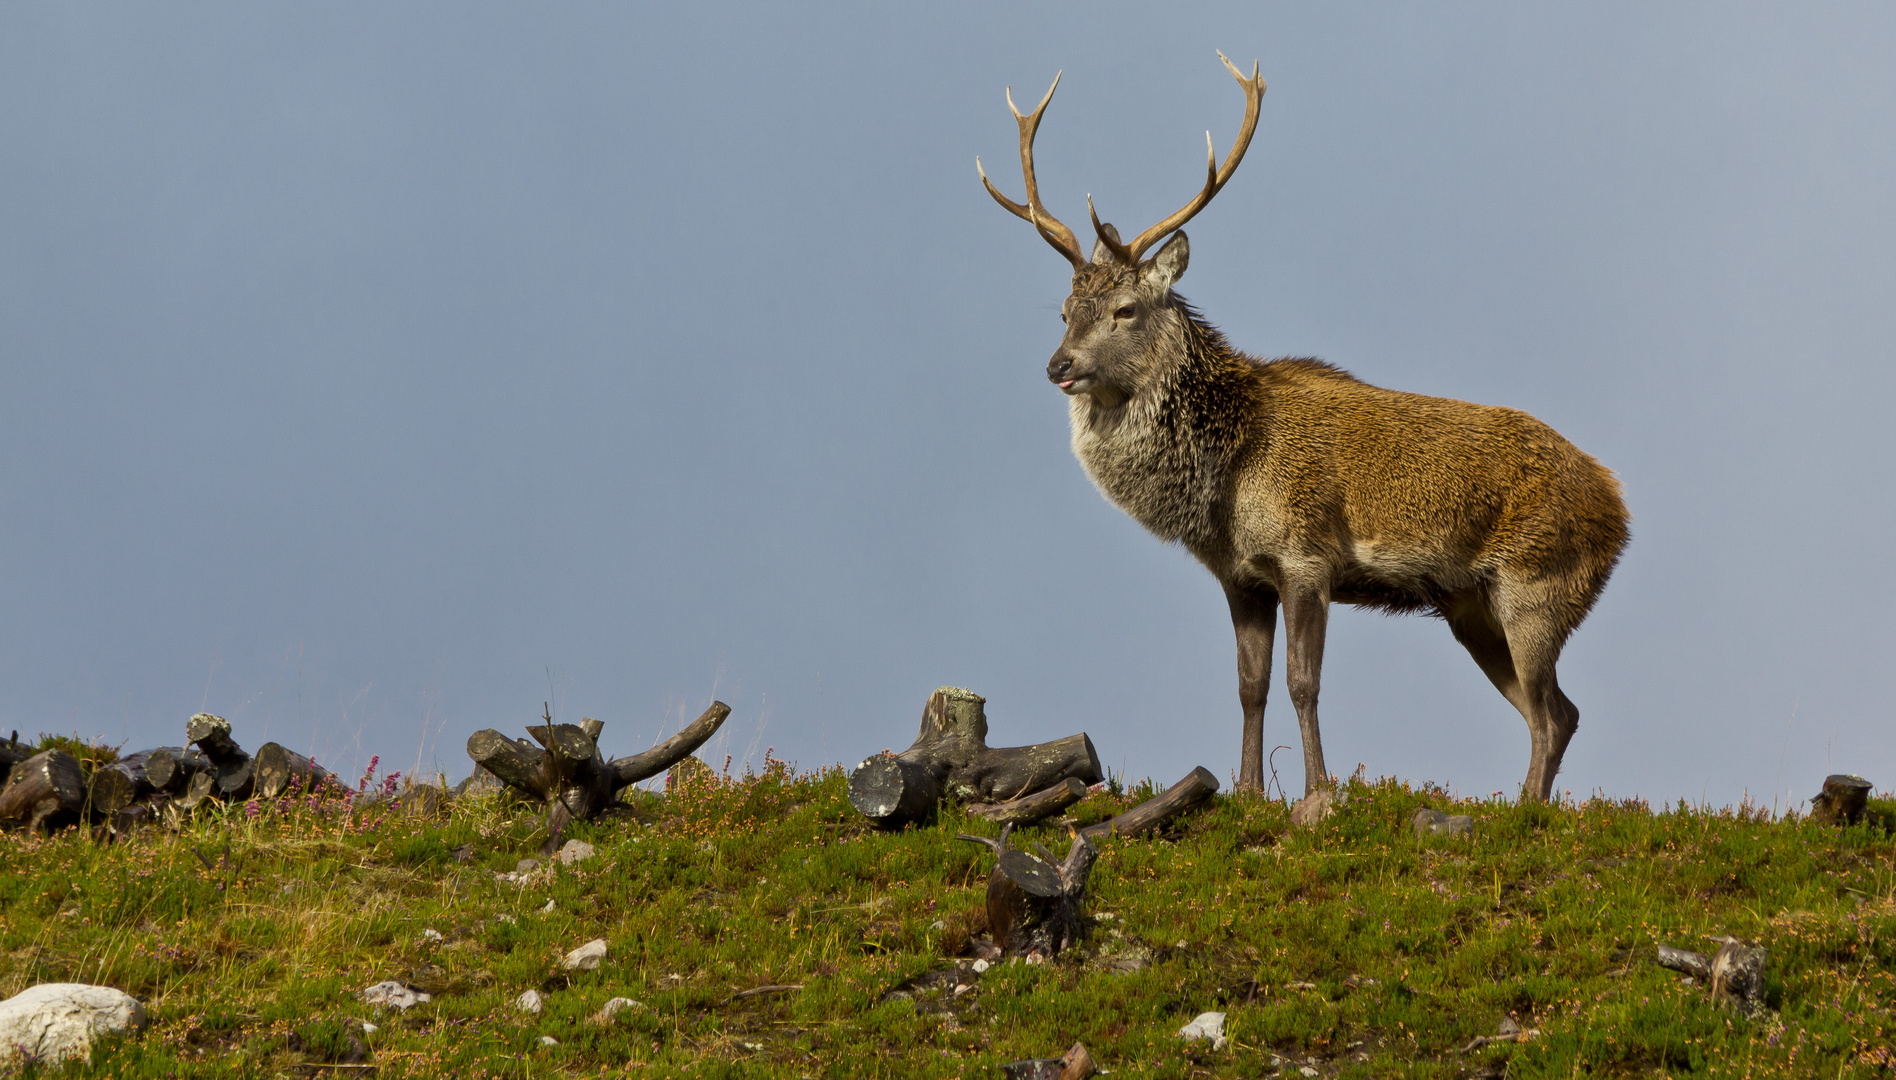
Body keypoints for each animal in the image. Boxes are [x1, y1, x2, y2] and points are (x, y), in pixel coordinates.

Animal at [978, 54, 1630, 803]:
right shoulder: (1240, 577)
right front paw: (1248, 792)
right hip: (1472, 607)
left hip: (1540, 586)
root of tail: (1619, 508)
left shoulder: (1308, 555)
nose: (1058, 365)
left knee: (1553, 712)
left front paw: (1318, 793)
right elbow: (1250, 686)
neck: (1226, 480)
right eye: (1063, 311)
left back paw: (1527, 811)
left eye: (1125, 309)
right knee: (1552, 711)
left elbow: (1302, 683)